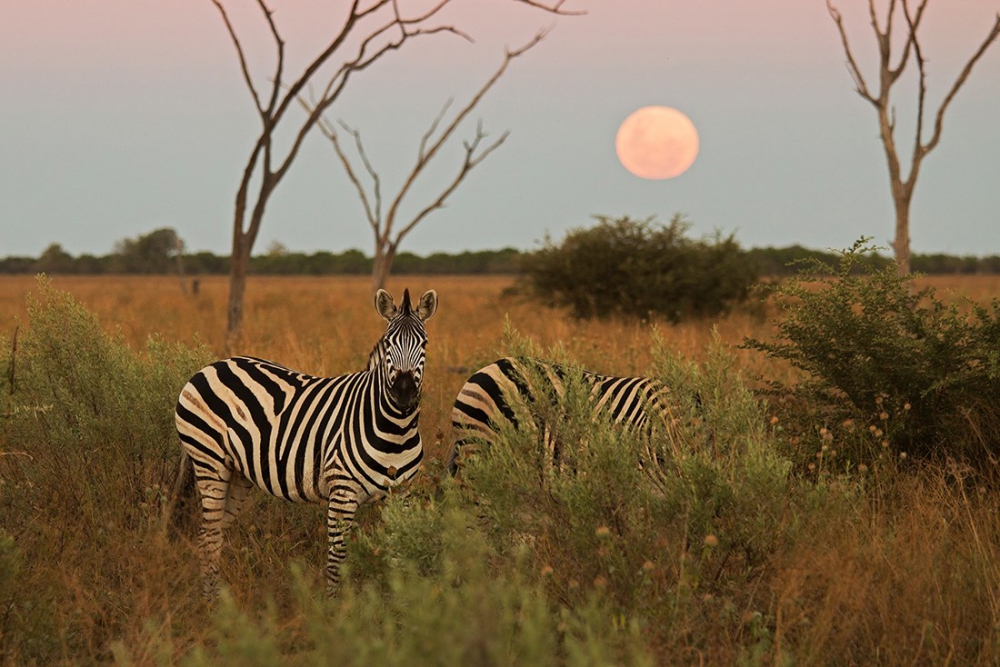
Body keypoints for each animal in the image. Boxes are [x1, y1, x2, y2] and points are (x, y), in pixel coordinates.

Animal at [173, 288, 438, 600]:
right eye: (387, 343)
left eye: (424, 343)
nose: (404, 393)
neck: (394, 429)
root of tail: (209, 367)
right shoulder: (342, 492)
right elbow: (337, 558)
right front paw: (335, 608)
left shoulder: (402, 493)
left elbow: (399, 552)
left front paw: (401, 603)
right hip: (209, 462)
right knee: (209, 535)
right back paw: (211, 602)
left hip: (236, 475)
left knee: (213, 533)